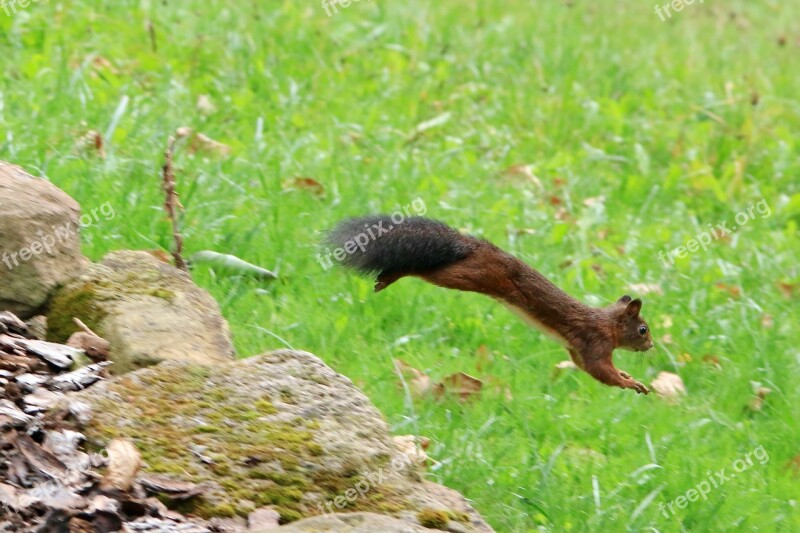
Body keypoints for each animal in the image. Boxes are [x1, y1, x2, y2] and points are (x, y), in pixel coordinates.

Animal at [324, 214, 656, 392]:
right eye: (643, 329)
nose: (651, 346)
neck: (608, 323)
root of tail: (475, 246)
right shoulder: (595, 342)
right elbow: (601, 371)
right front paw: (631, 384)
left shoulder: (576, 350)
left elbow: (590, 369)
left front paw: (629, 377)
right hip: (468, 275)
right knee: (424, 269)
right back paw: (392, 275)